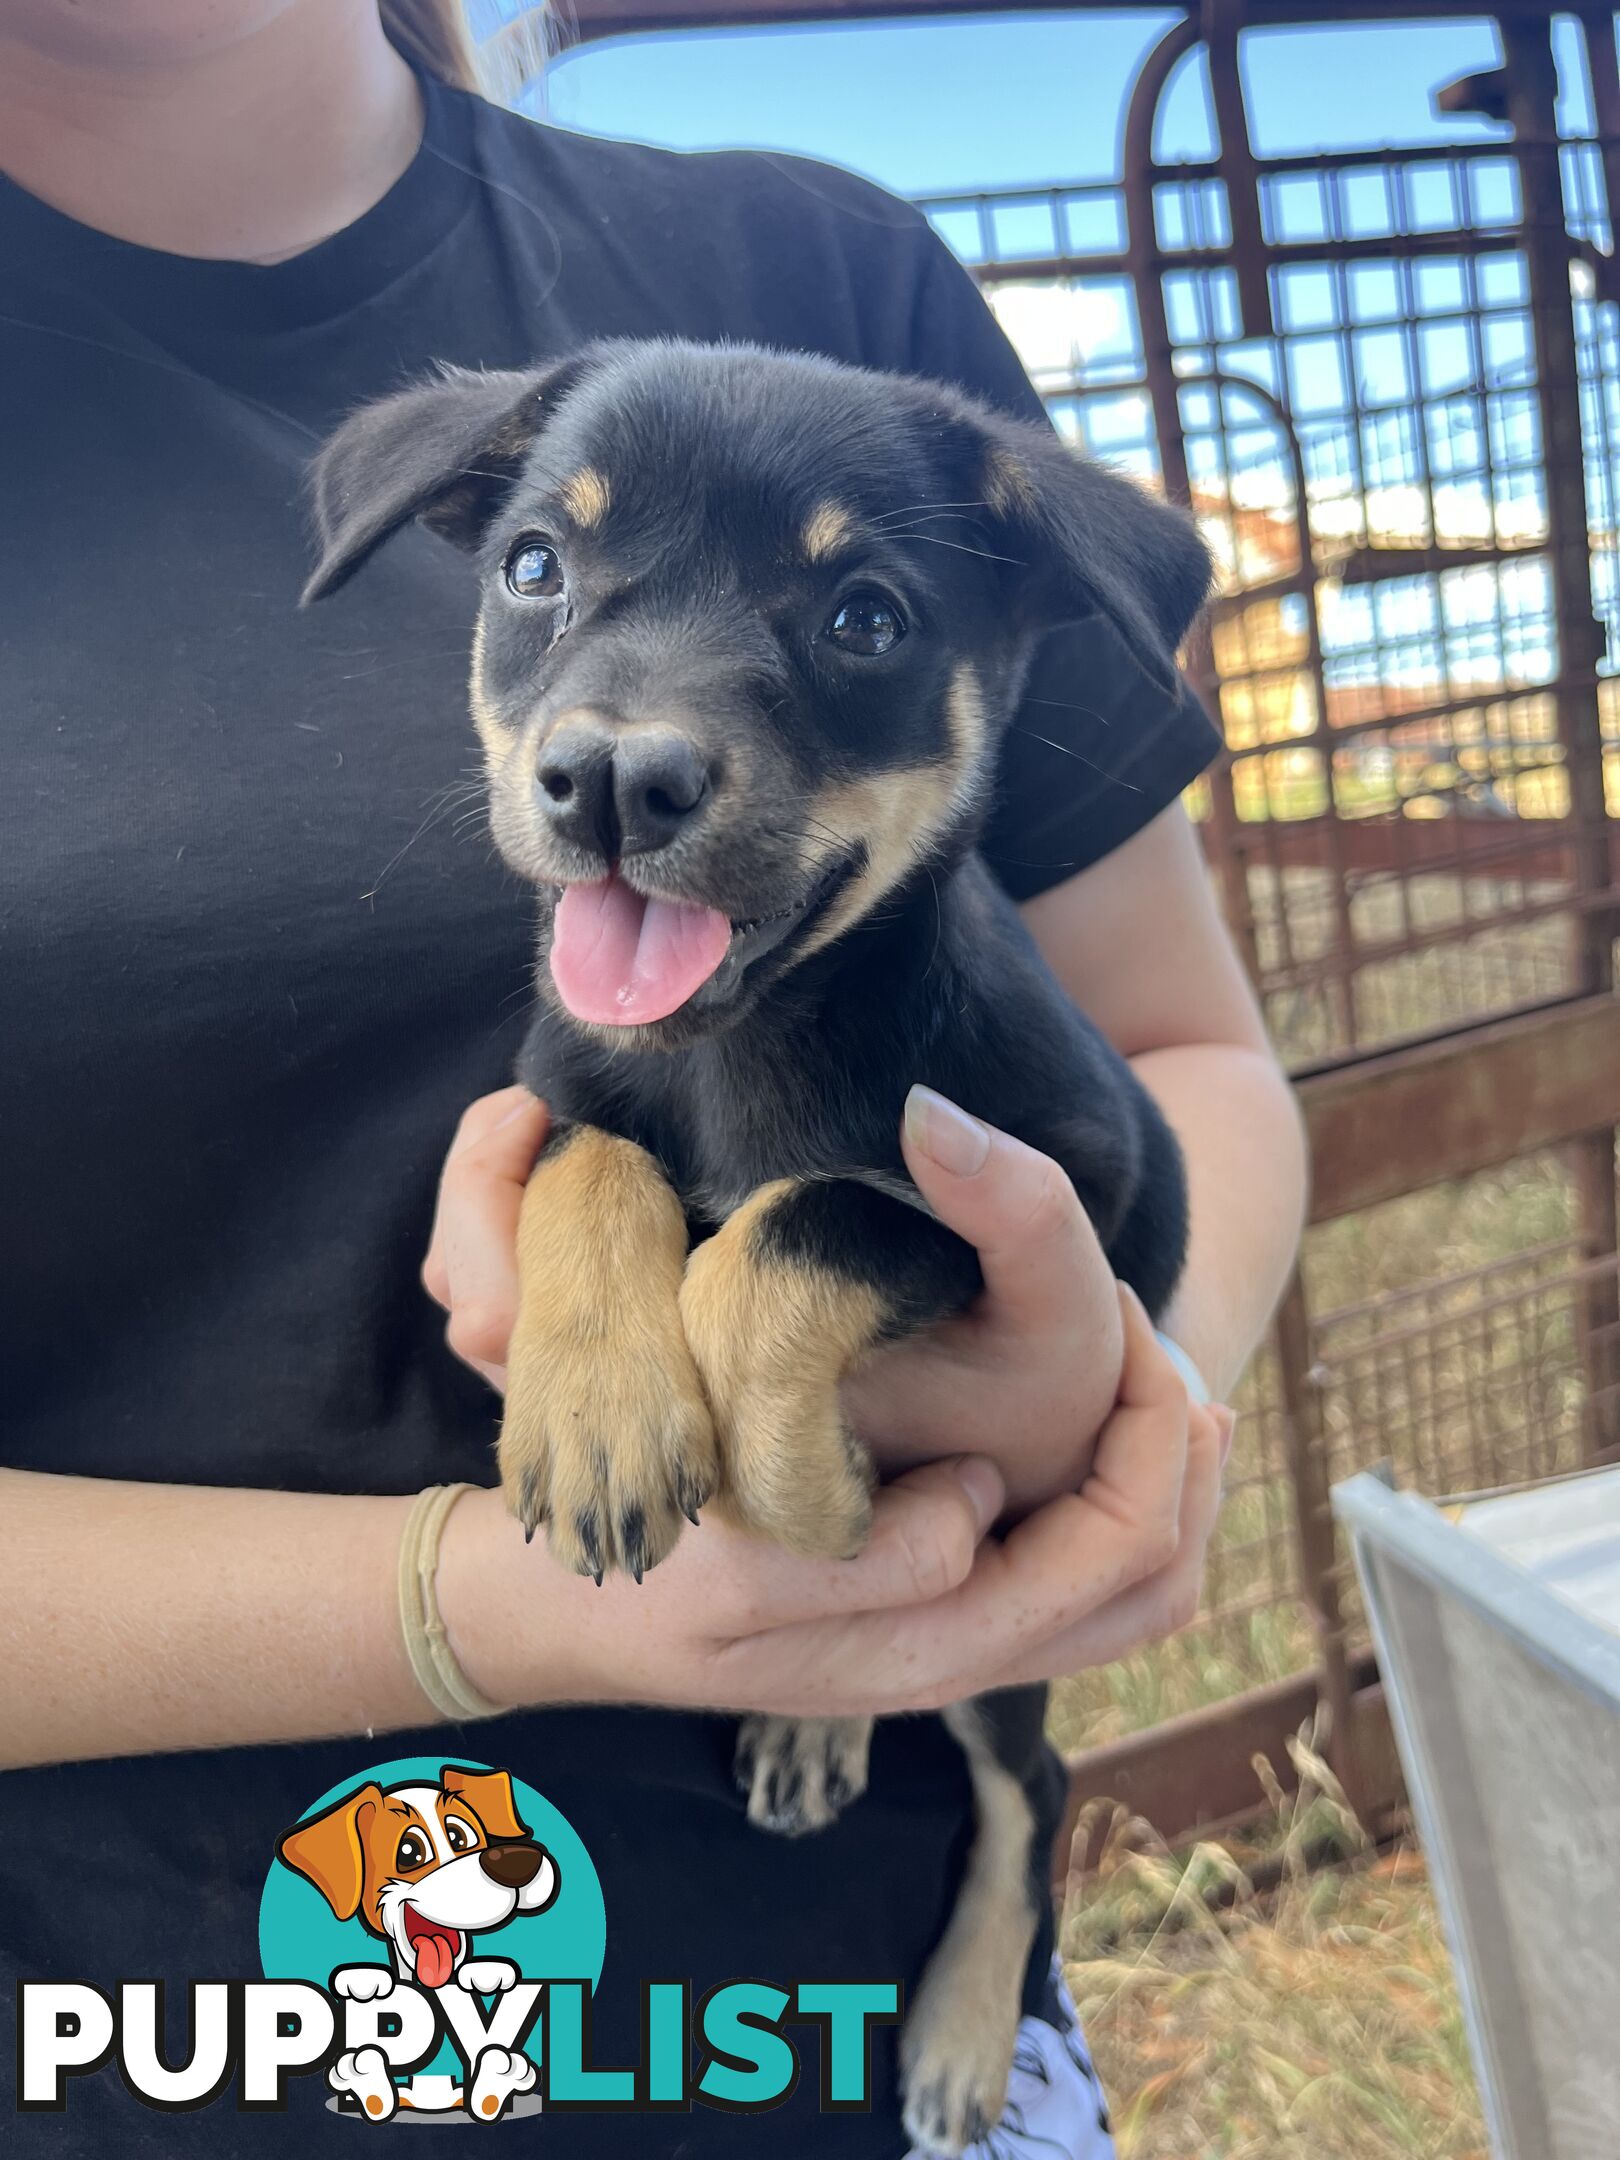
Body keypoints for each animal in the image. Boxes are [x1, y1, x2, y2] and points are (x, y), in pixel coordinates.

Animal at [306, 345, 1209, 2151]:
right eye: (534, 568)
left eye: (865, 617)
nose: (609, 782)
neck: (735, 1053)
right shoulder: (557, 1085)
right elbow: (597, 1170)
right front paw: (599, 1415)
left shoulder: (1067, 1187)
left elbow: (799, 1222)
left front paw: (799, 1484)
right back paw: (812, 1724)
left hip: (1007, 1656)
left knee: (1030, 1784)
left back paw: (956, 2032)